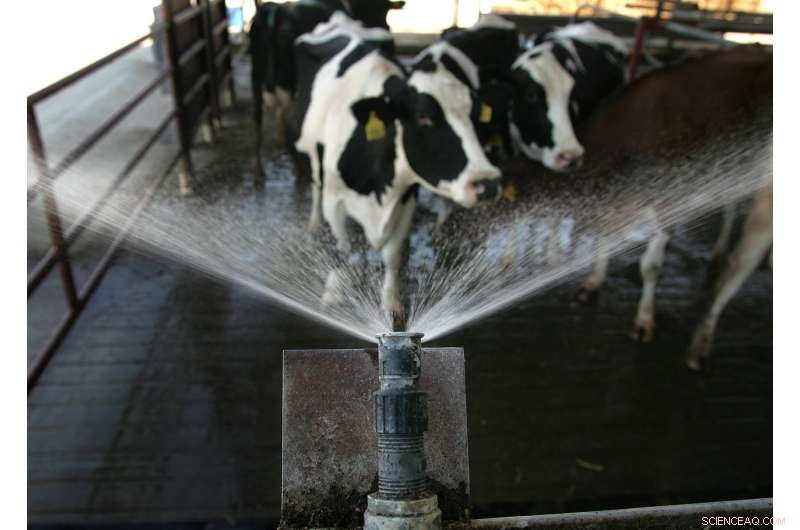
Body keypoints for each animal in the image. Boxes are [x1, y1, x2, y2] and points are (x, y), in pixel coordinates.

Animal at [291, 20, 502, 325]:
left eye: (475, 116)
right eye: (424, 117)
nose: (487, 183)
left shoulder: (406, 197)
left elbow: (392, 255)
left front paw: (391, 304)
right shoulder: (335, 201)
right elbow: (342, 249)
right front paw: (333, 293)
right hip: (311, 160)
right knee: (315, 190)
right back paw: (313, 226)